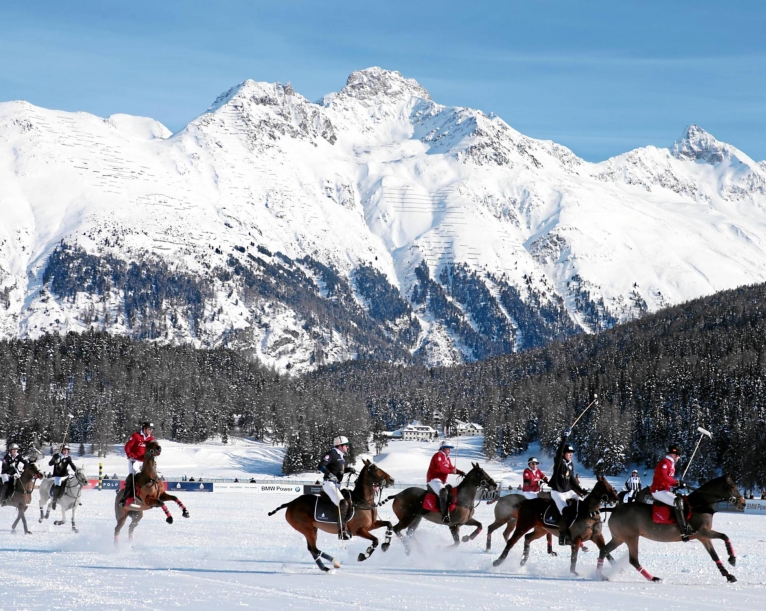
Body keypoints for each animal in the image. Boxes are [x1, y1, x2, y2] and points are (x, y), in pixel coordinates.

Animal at [268, 462, 396, 572]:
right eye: (375, 469)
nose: (392, 480)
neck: (361, 501)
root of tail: (290, 503)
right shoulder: (358, 530)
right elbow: (375, 540)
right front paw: (363, 555)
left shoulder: (370, 525)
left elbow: (389, 524)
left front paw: (386, 545)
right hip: (306, 528)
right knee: (313, 549)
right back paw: (332, 563)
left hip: (312, 528)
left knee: (312, 549)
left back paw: (327, 566)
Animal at [492, 476, 624, 576]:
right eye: (603, 486)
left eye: (609, 484)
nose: (616, 498)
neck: (588, 512)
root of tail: (525, 501)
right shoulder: (576, 539)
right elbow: (574, 557)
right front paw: (573, 572)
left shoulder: (597, 537)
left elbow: (606, 551)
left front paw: (618, 568)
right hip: (523, 525)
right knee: (511, 541)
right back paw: (498, 562)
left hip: (541, 529)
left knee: (528, 537)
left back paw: (524, 560)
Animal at [596, 474, 748, 584]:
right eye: (730, 486)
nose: (743, 503)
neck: (700, 504)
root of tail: (615, 509)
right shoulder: (702, 532)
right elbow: (724, 536)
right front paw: (732, 559)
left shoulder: (704, 537)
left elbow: (714, 555)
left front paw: (728, 575)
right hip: (631, 537)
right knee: (633, 560)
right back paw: (654, 578)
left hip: (619, 537)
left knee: (604, 550)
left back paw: (600, 575)